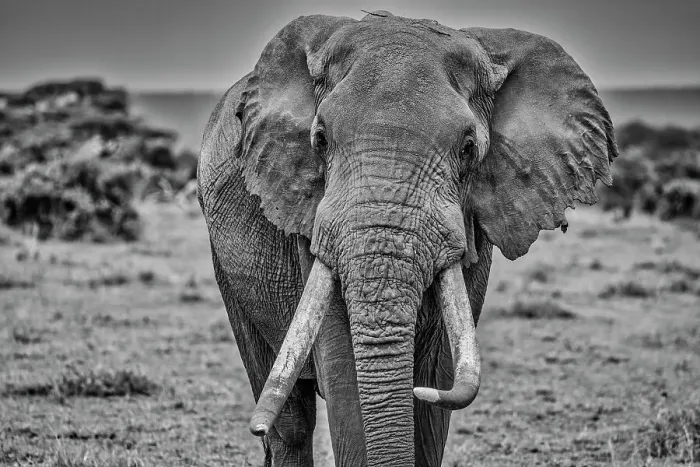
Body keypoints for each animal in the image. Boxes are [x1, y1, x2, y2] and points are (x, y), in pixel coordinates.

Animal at [197, 10, 618, 467]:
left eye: (468, 148)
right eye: (320, 140)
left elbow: (435, 379)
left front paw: (423, 391)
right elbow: (346, 373)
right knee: (290, 421)